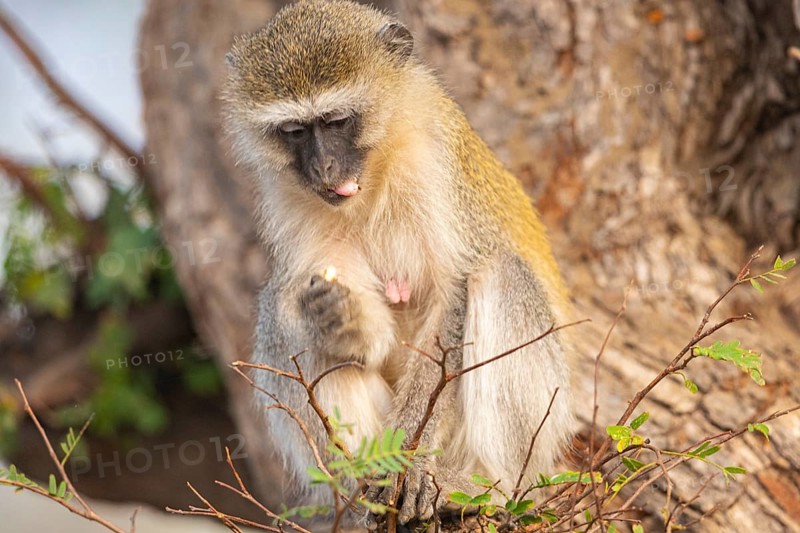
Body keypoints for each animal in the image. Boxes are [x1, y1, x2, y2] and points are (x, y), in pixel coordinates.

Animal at [223, 0, 575, 524]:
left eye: (336, 120)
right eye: (294, 131)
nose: (323, 168)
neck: (376, 173)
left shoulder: (434, 164)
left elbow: (453, 295)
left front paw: (407, 466)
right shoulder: (290, 198)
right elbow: (331, 315)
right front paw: (343, 322)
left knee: (501, 273)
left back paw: (486, 488)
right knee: (280, 307)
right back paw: (358, 496)